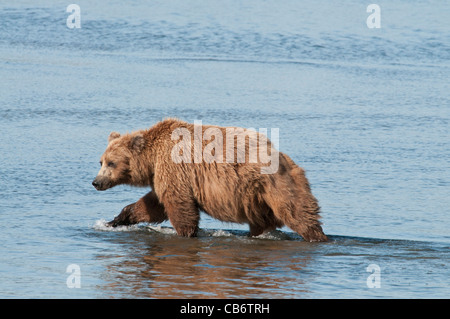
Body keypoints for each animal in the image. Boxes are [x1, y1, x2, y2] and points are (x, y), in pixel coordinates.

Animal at [93, 118, 328, 242]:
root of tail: (287, 159)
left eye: (111, 163)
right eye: (101, 161)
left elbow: (179, 206)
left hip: (275, 185)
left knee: (298, 212)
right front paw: (115, 220)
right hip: (257, 199)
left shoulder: (174, 169)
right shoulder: (162, 175)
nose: (96, 182)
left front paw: (186, 233)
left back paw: (317, 236)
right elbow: (153, 204)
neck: (151, 159)